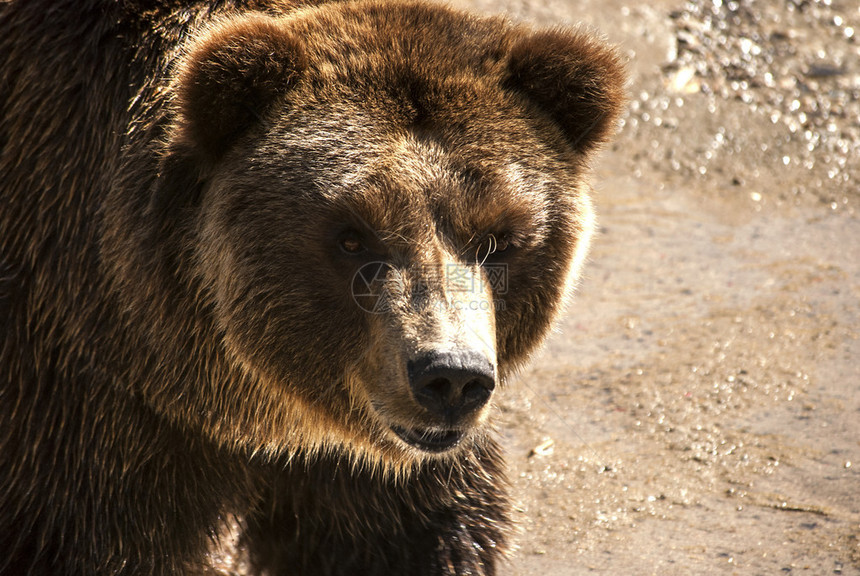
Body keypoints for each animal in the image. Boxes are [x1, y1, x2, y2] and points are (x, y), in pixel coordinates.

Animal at [0, 0, 620, 572]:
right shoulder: (89, 414)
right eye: (351, 237)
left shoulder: (365, 462)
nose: (451, 376)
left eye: (498, 237)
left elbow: (419, 532)